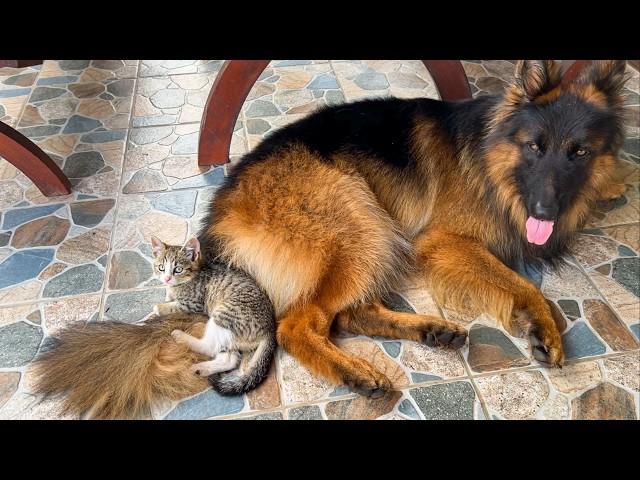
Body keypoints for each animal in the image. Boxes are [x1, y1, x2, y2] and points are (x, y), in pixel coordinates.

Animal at [152, 234, 278, 396]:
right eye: (161, 268)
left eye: (178, 269)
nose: (167, 278)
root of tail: (270, 330)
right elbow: (168, 295)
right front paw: (167, 294)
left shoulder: (193, 303)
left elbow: (173, 306)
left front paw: (159, 308)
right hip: (231, 335)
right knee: (230, 359)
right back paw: (201, 369)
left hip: (224, 315)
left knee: (210, 347)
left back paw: (181, 337)